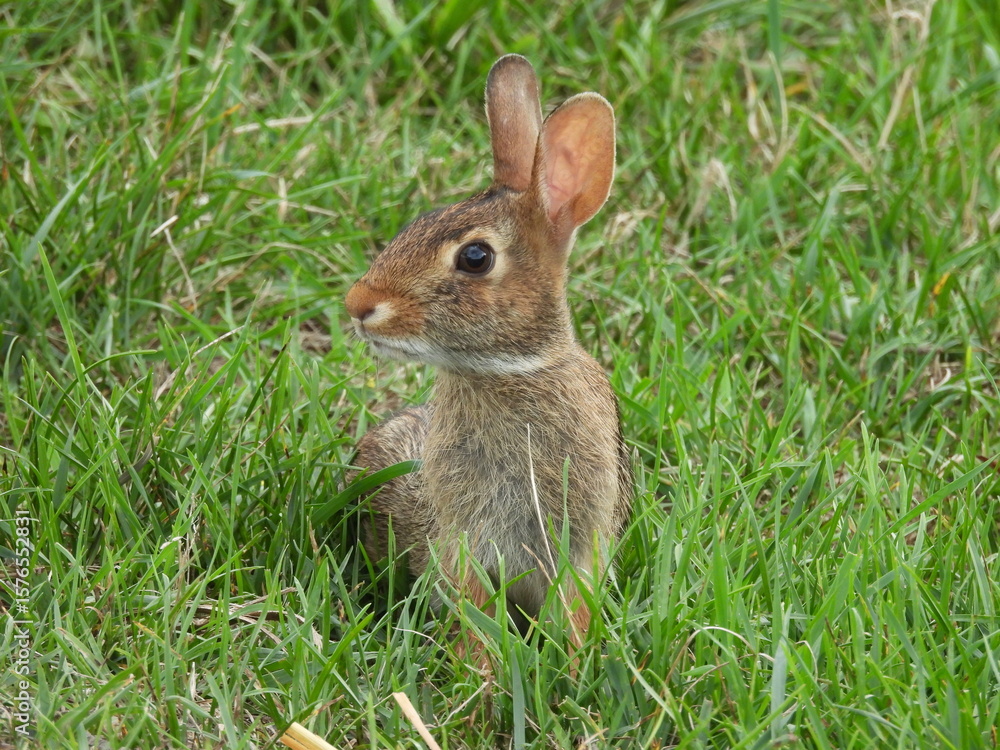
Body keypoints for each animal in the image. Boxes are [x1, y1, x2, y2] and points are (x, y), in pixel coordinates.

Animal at [345, 54, 632, 646]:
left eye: (475, 257)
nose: (358, 305)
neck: (511, 369)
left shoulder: (582, 543)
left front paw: (574, 661)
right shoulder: (466, 539)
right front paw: (482, 668)